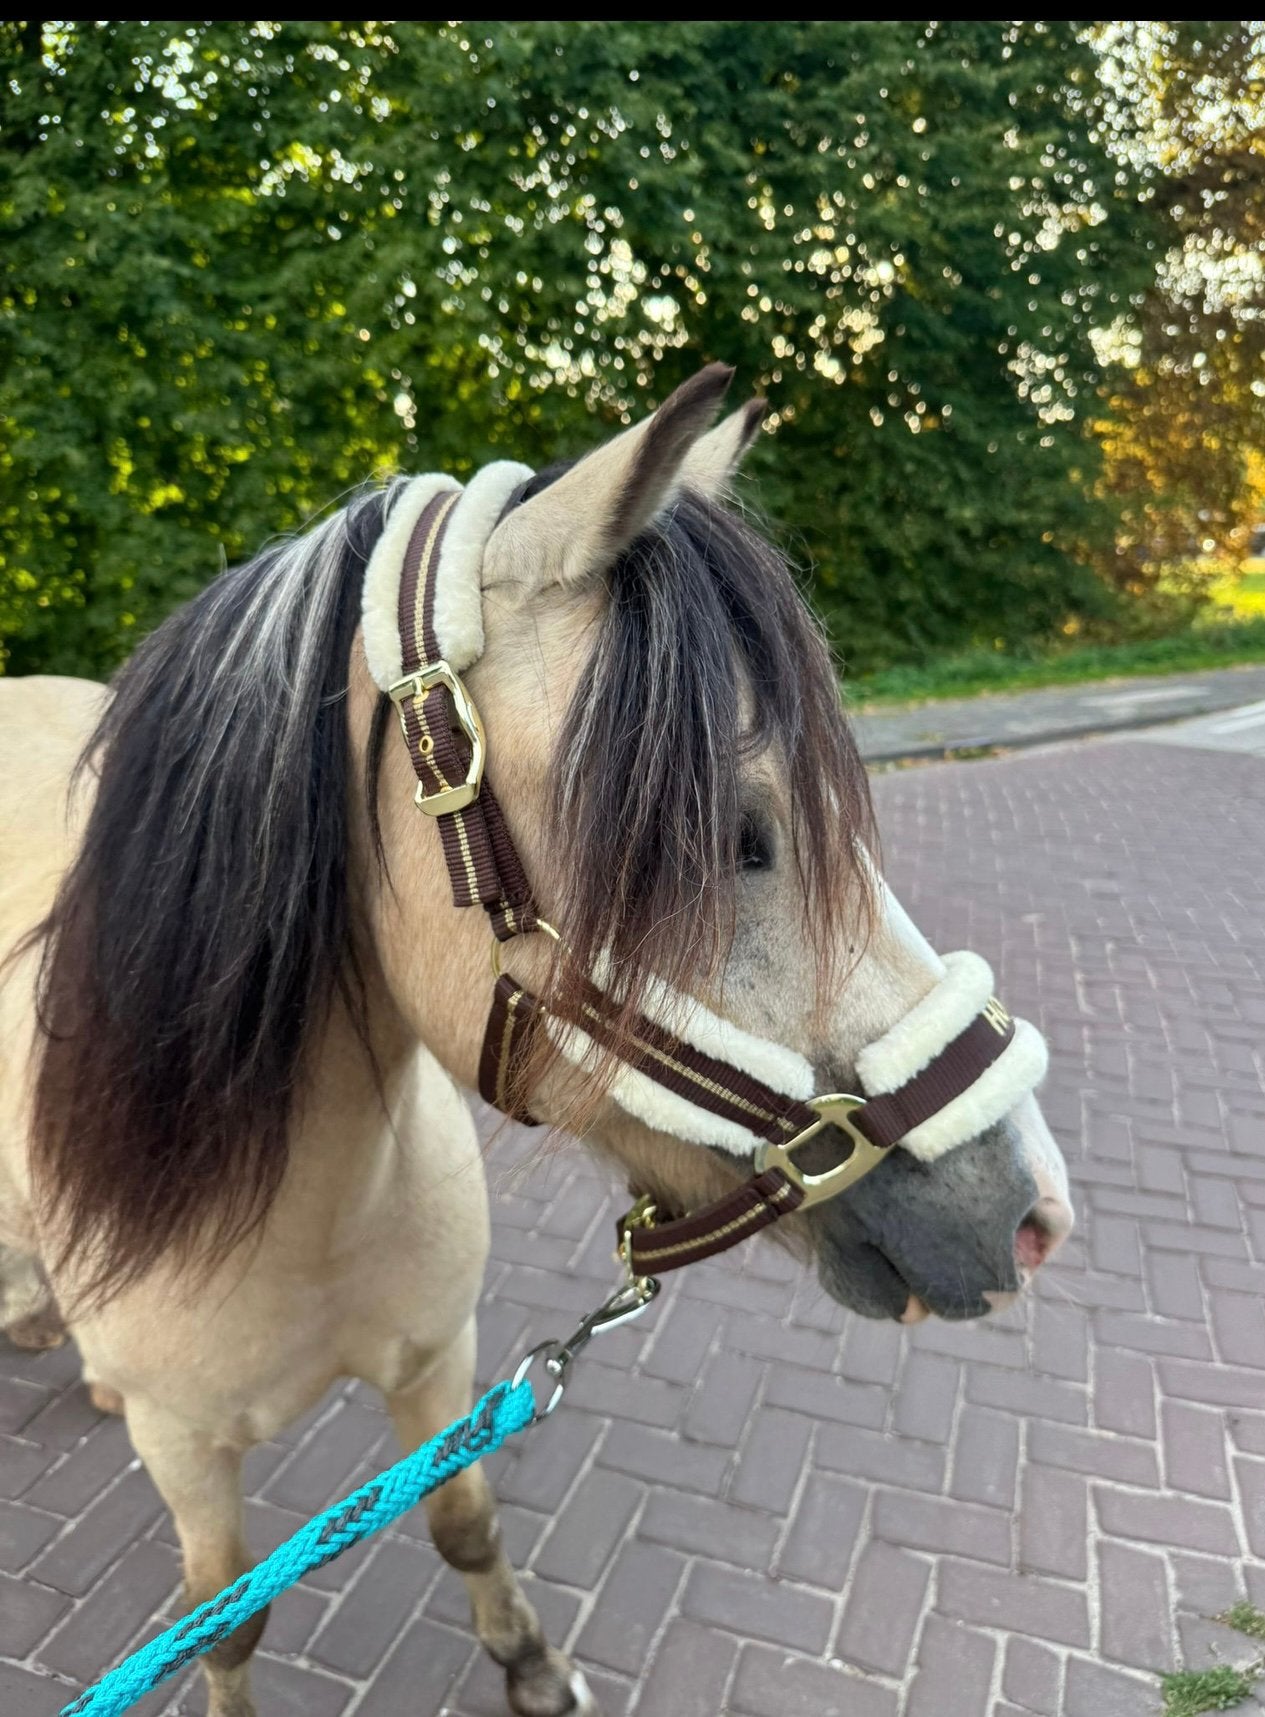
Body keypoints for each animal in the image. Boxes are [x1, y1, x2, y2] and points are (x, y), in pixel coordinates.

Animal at [0, 364, 1073, 1717]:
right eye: (730, 835)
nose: (1030, 1212)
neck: (298, 1212)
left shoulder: (436, 1366)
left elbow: (463, 1523)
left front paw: (531, 1668)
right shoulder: (185, 1451)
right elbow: (224, 1625)